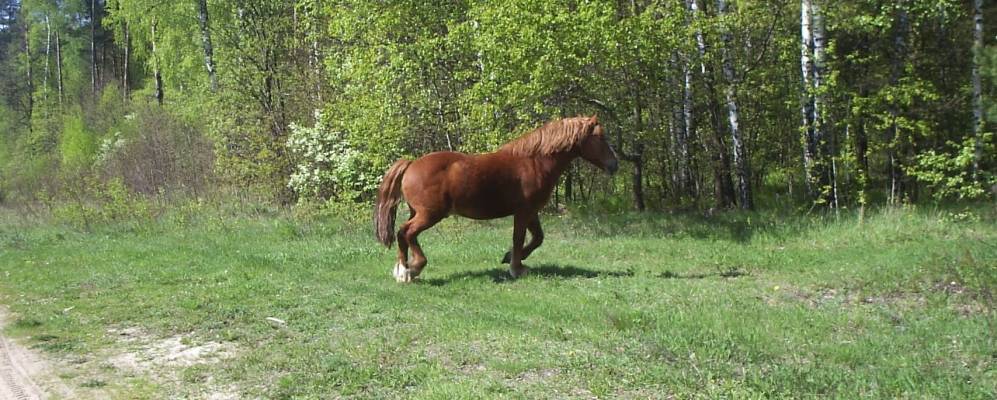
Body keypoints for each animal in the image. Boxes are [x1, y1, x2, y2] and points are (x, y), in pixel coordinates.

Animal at [378, 115, 620, 282]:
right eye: (600, 137)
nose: (614, 165)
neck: (534, 162)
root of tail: (411, 164)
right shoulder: (523, 211)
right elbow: (519, 238)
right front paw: (516, 268)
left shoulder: (532, 212)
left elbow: (537, 238)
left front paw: (510, 257)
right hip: (430, 214)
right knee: (407, 232)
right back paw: (413, 268)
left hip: (418, 212)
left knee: (403, 234)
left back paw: (402, 270)